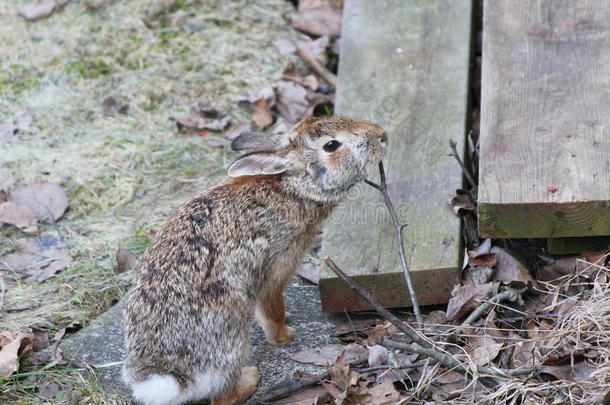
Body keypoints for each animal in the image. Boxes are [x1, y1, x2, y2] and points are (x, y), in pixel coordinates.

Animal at [121, 114, 384, 404]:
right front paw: (284, 335)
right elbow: (272, 308)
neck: (293, 188)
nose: (381, 135)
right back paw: (250, 379)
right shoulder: (274, 271)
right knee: (223, 396)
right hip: (232, 331)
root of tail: (168, 375)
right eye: (331, 145)